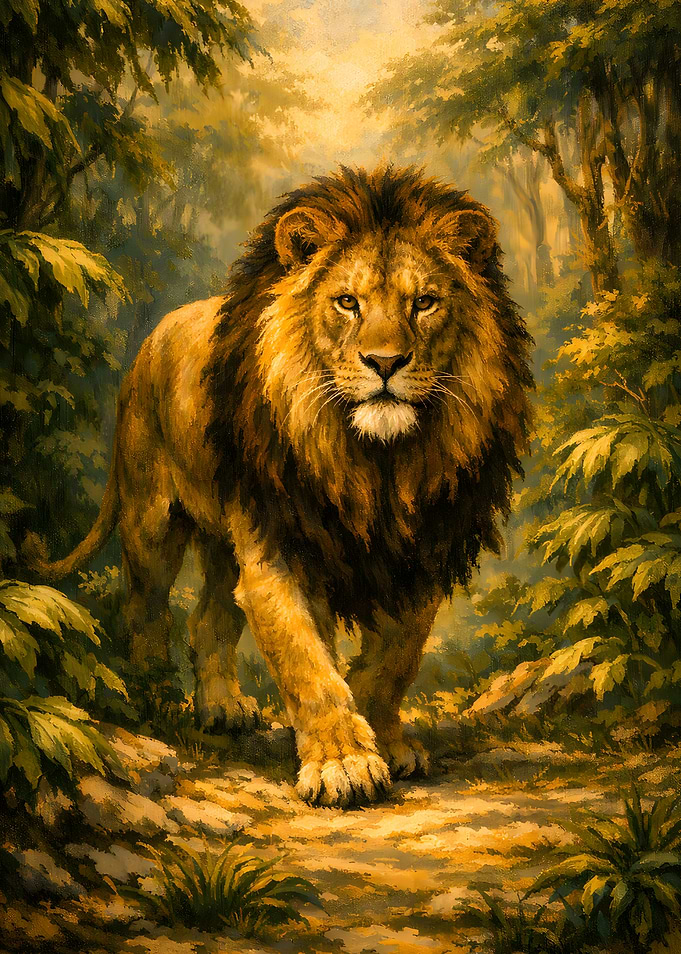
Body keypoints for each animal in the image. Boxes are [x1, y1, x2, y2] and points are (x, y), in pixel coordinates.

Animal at [27, 166, 533, 807]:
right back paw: (150, 698)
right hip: (152, 520)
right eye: (347, 302)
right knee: (143, 609)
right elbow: (307, 662)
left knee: (209, 619)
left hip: (223, 540)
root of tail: (151, 338)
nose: (384, 363)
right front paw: (343, 763)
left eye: (424, 303)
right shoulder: (282, 546)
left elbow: (394, 657)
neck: (377, 462)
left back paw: (221, 708)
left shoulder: (423, 548)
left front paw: (385, 741)